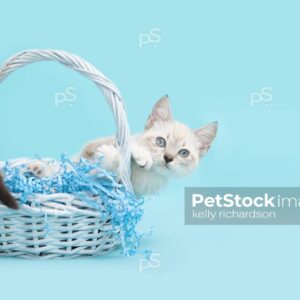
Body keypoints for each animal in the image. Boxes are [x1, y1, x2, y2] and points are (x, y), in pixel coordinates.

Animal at [0, 96, 217, 209]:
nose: (168, 158)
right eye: (160, 141)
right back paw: (36, 168)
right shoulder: (91, 147)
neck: (148, 175)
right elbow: (124, 146)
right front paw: (137, 153)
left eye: (183, 153)